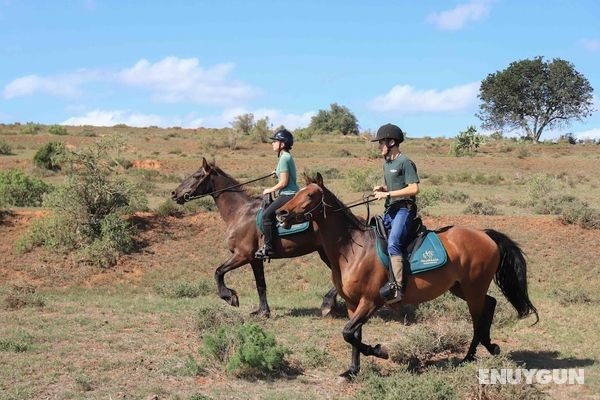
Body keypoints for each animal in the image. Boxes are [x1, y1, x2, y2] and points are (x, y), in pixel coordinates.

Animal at [170, 158, 338, 318]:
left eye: (196, 176)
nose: (174, 193)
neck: (240, 212)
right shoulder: (254, 259)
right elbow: (260, 285)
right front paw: (263, 311)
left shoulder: (243, 255)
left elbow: (219, 272)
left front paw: (230, 297)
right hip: (323, 252)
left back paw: (328, 303)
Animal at [278, 173, 540, 378]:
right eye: (298, 193)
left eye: (310, 196)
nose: (281, 213)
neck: (353, 249)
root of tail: (485, 235)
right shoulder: (353, 304)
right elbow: (353, 335)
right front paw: (352, 370)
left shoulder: (371, 301)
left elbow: (348, 333)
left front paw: (379, 351)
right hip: (461, 287)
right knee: (491, 303)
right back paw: (489, 346)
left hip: (473, 288)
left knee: (478, 317)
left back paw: (470, 356)